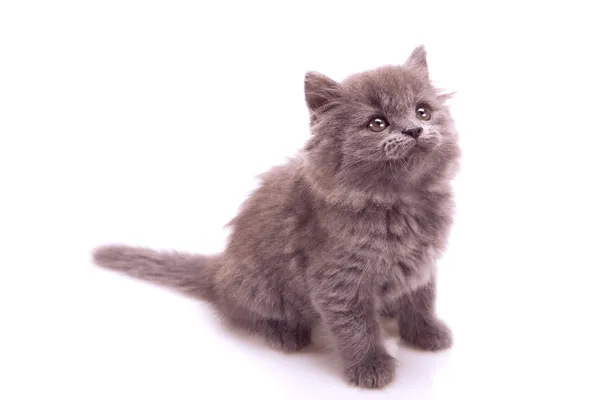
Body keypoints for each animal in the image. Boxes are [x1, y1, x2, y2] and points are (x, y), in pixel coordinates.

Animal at [92, 46, 460, 388]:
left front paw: (426, 333)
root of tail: (220, 268)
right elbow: (358, 327)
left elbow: (421, 301)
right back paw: (285, 334)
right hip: (259, 288)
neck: (400, 201)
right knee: (242, 312)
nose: (414, 130)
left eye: (423, 111)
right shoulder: (338, 281)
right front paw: (370, 367)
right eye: (377, 123)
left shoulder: (422, 264)